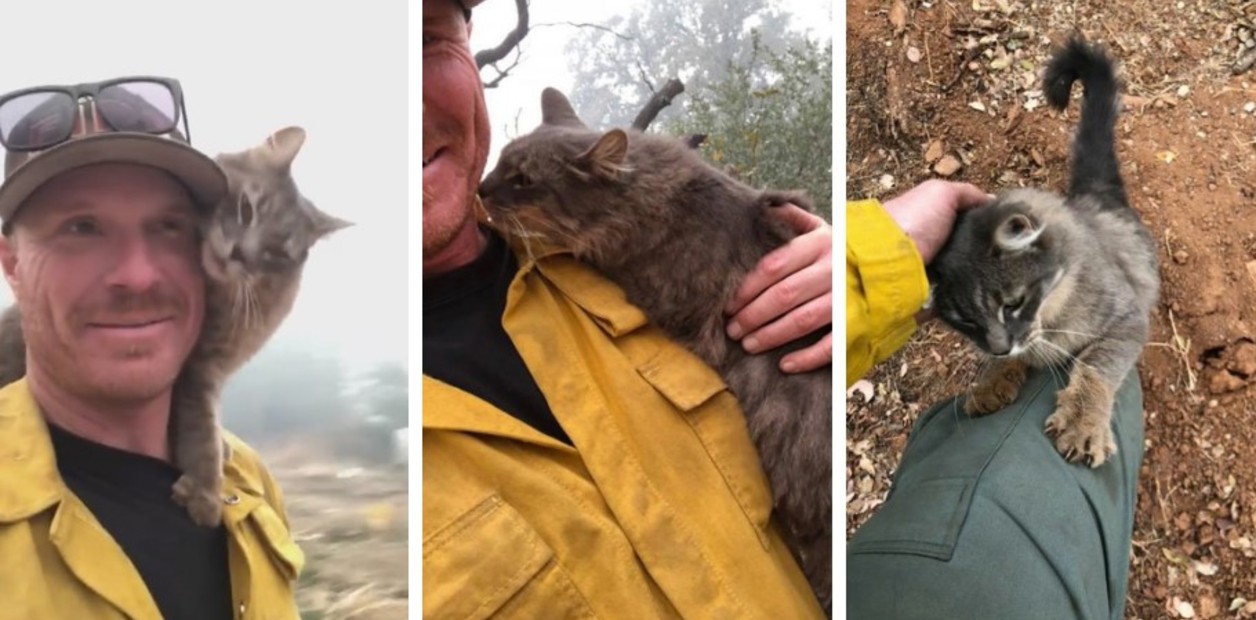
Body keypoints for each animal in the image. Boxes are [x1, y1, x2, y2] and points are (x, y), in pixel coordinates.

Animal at [929, 36, 1150, 466]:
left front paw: (1083, 421)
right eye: (965, 322)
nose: (998, 348)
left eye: (1012, 303)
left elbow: (1097, 363)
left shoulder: (1128, 318)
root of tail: (1094, 192)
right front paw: (991, 383)